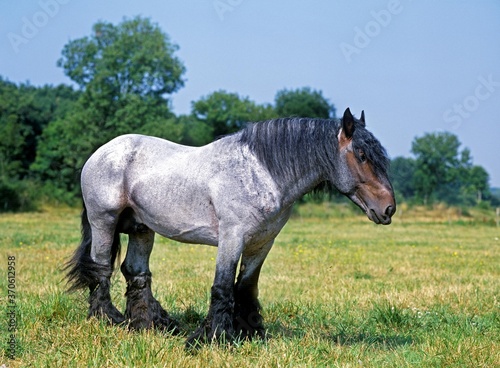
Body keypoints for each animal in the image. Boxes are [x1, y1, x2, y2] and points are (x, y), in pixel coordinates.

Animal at [65, 108, 394, 346]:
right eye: (362, 155)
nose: (388, 209)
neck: (262, 172)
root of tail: (100, 153)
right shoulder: (232, 237)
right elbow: (223, 286)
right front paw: (213, 338)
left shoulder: (262, 242)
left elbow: (246, 286)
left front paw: (251, 332)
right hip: (104, 221)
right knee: (100, 268)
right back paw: (107, 319)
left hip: (141, 228)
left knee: (135, 272)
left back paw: (150, 324)